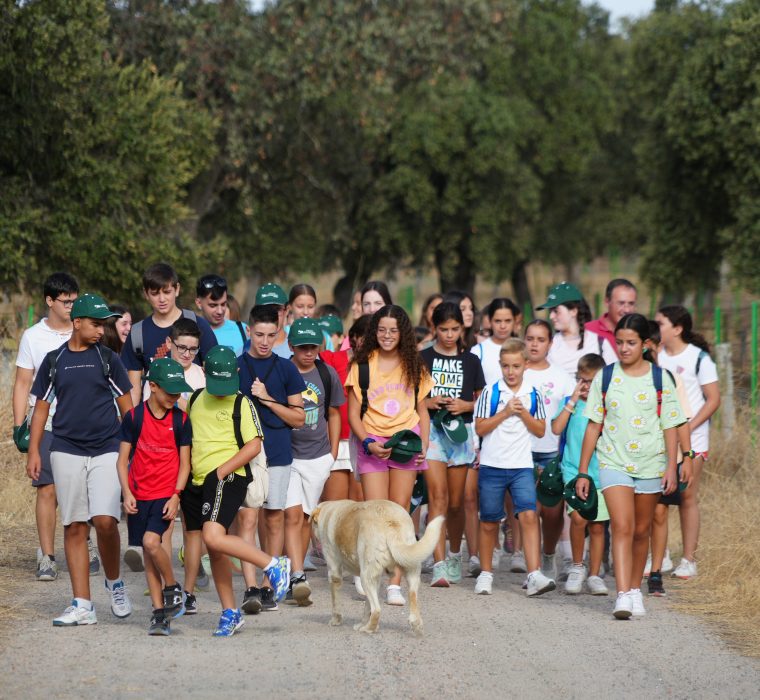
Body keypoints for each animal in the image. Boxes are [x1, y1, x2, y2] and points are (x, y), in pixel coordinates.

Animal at [310, 498, 442, 636]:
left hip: (365, 577)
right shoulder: (376, 577)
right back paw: (415, 625)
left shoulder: (334, 571)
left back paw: (368, 629)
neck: (329, 511)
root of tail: (391, 521)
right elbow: (367, 606)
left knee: (377, 609)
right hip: (411, 571)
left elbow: (336, 601)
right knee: (412, 598)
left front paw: (336, 620)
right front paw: (363, 622)